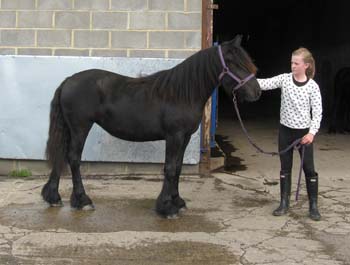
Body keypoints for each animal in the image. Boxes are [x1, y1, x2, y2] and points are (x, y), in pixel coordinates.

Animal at [41, 35, 260, 217]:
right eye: (232, 62)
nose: (256, 92)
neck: (182, 93)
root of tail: (68, 81)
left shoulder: (185, 137)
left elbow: (178, 167)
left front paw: (177, 202)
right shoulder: (174, 136)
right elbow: (170, 168)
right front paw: (167, 208)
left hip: (71, 129)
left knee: (61, 155)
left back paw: (53, 197)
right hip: (80, 127)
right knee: (73, 159)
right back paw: (83, 200)